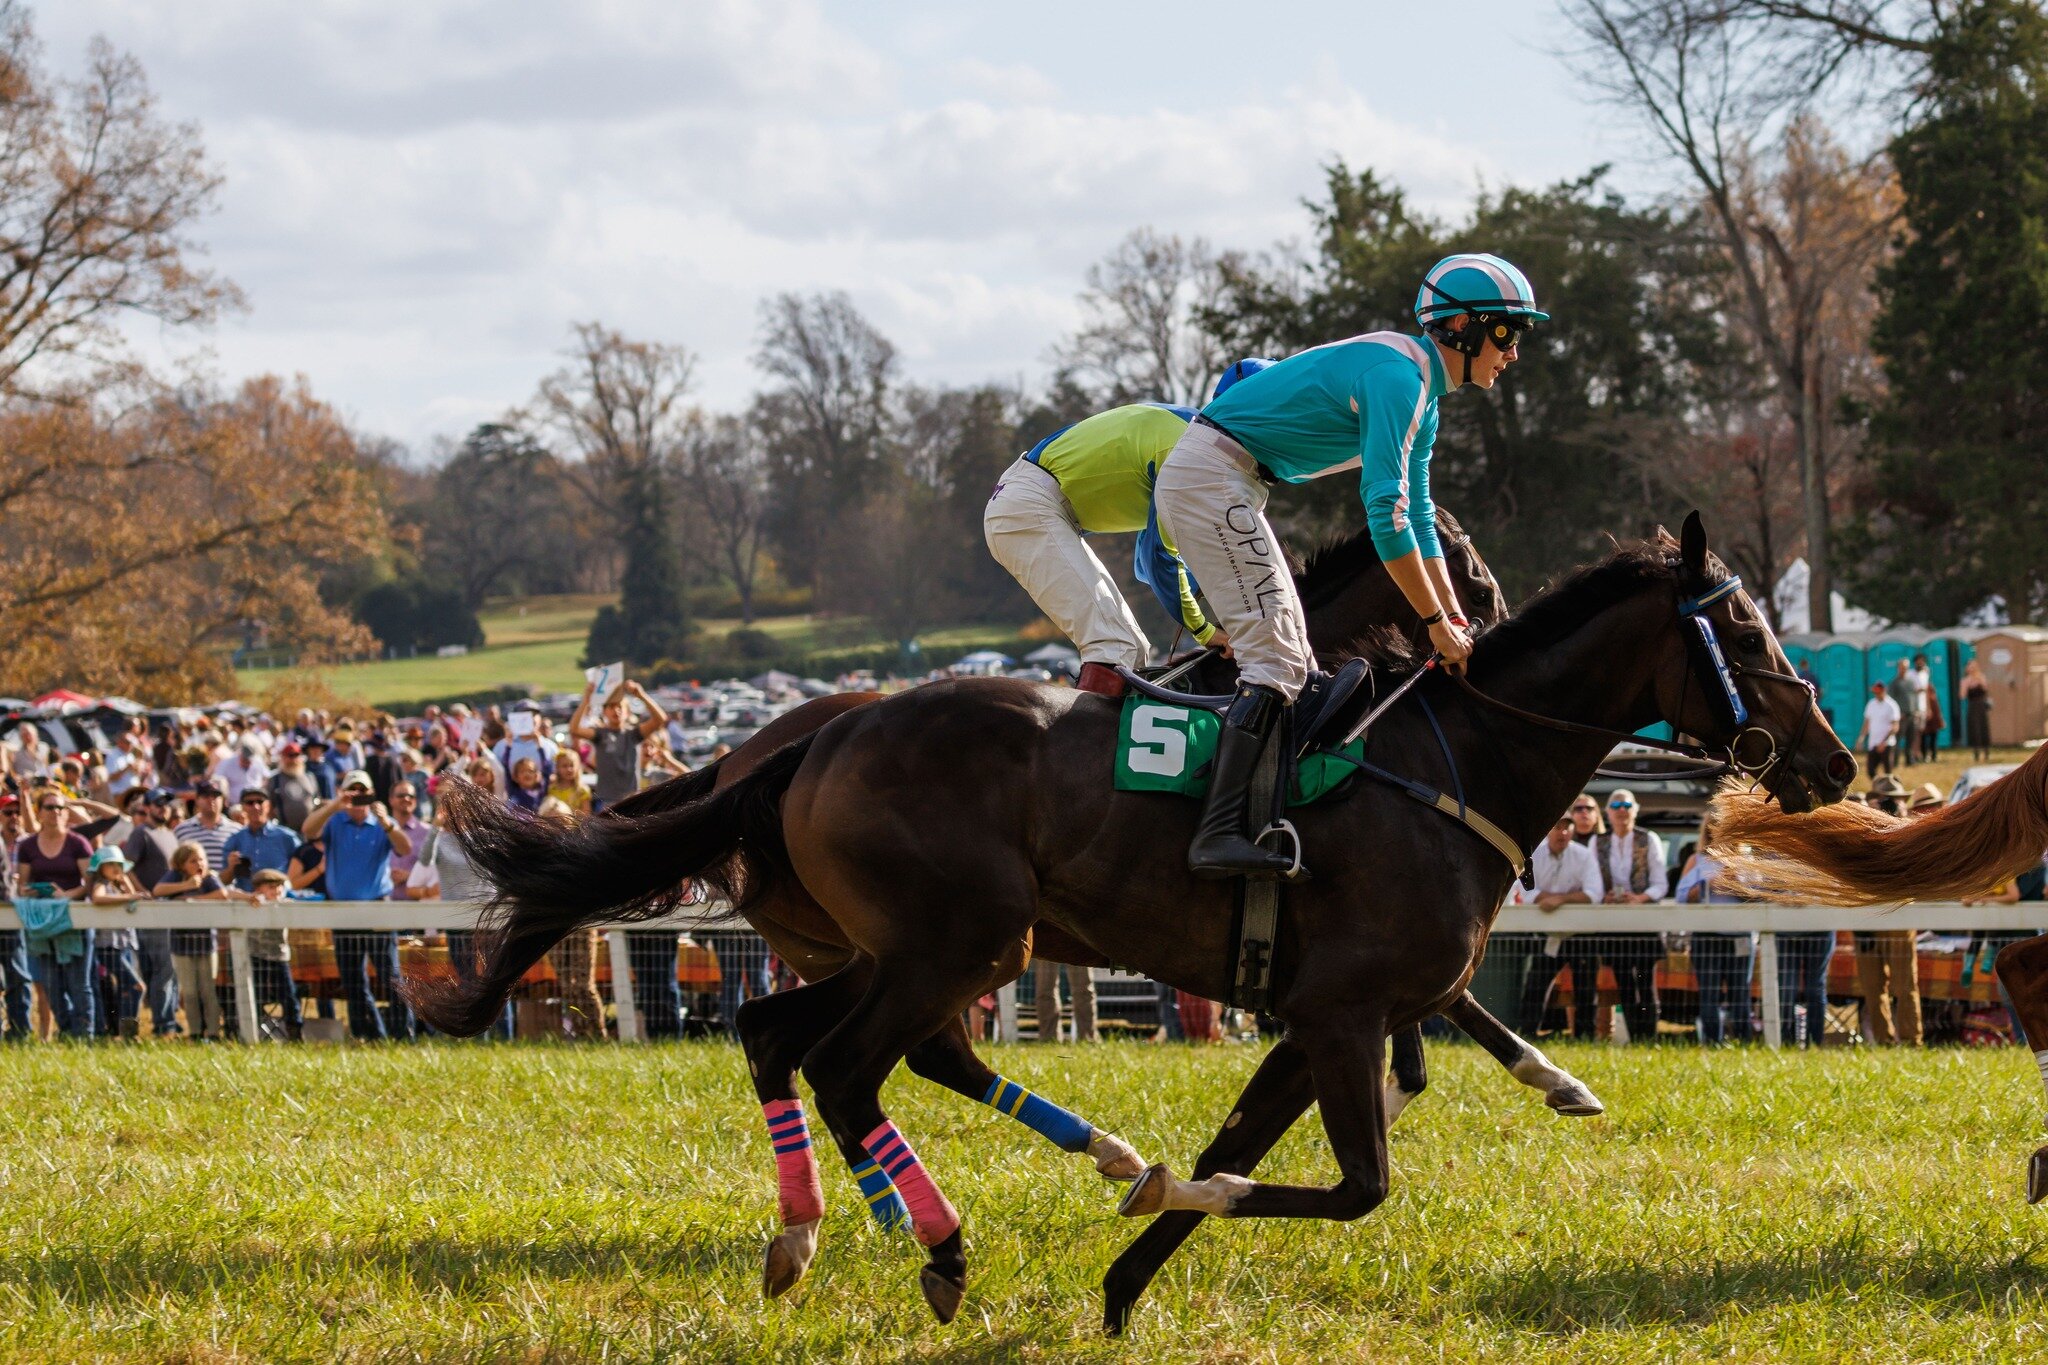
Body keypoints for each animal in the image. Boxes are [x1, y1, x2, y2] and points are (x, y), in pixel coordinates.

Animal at [415, 517, 1859, 1326]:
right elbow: (1351, 1185)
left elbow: (1252, 1148)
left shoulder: (1309, 1018)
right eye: (1742, 630)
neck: (1447, 757)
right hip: (958, 940)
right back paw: (937, 1243)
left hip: (907, 946)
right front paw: (1156, 1192)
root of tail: (805, 741)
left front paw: (1122, 1281)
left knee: (793, 1037)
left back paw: (839, 1226)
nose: (1834, 757)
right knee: (849, 1062)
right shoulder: (1338, 1010)